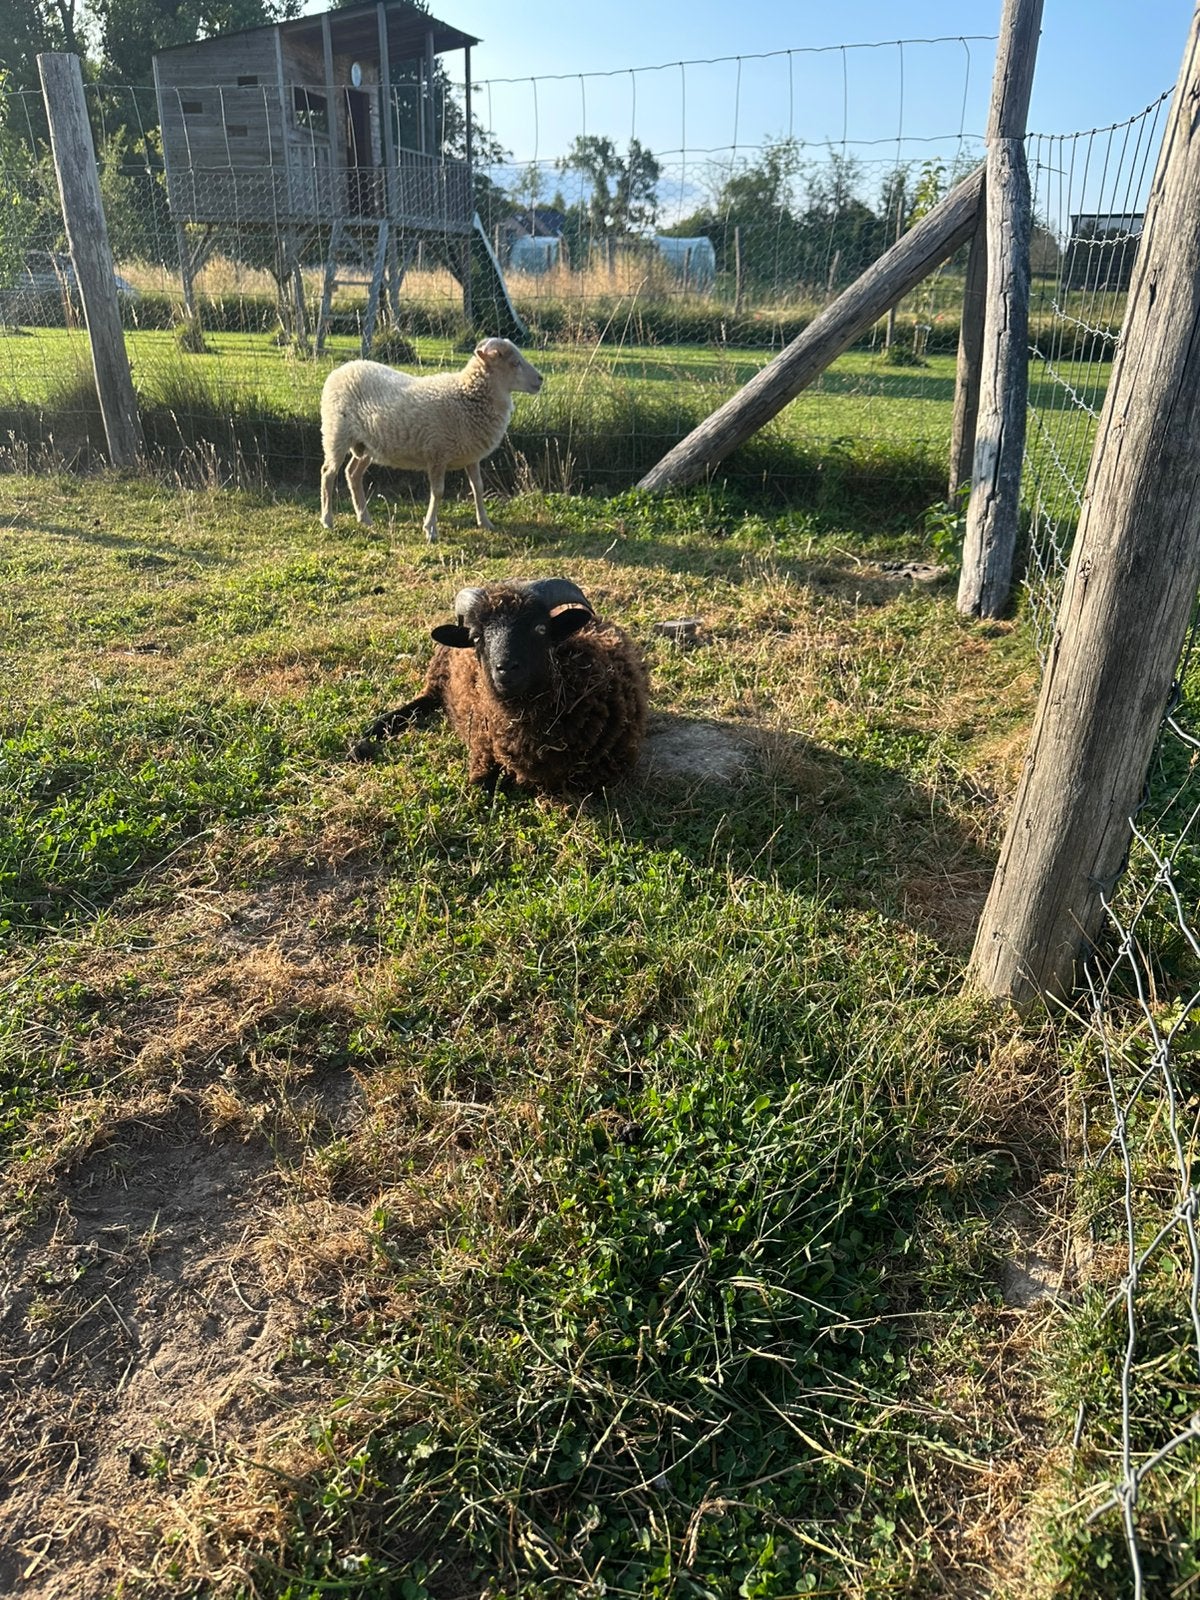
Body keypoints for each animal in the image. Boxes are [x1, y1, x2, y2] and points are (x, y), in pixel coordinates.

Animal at [319, 337, 542, 542]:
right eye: (515, 363)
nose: (541, 380)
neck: (466, 395)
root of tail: (342, 369)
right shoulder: (437, 454)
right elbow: (438, 492)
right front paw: (430, 529)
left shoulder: (471, 456)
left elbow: (478, 487)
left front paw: (485, 522)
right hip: (336, 434)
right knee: (328, 473)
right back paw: (328, 520)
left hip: (366, 445)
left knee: (352, 474)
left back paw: (364, 518)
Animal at [352, 578, 650, 796]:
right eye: (476, 637)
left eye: (541, 629)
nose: (505, 668)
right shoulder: (483, 749)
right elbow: (482, 784)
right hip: (437, 676)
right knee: (422, 702)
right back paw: (370, 734)